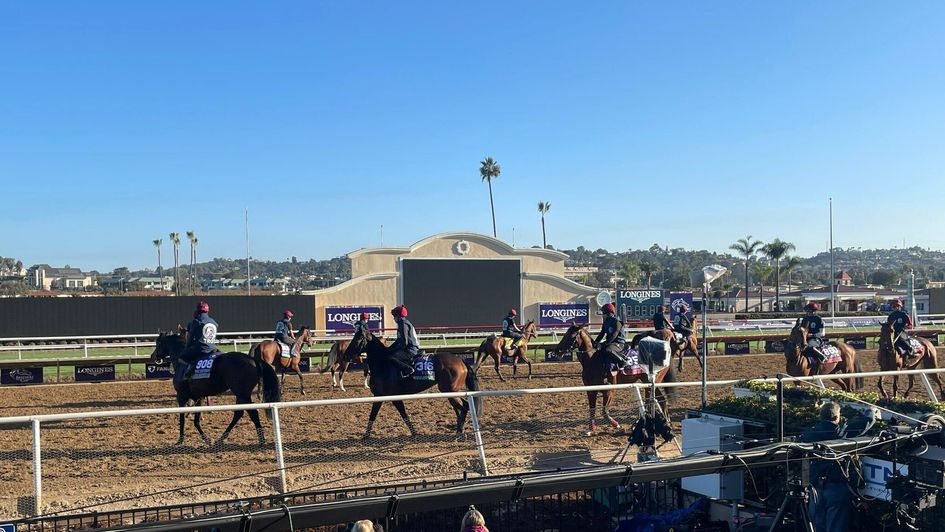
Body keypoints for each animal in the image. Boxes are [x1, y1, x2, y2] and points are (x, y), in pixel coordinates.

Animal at [150, 330, 280, 446]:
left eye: (158, 342)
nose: (153, 356)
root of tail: (253, 359)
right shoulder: (199, 397)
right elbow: (196, 421)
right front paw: (206, 439)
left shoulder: (181, 396)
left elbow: (182, 418)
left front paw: (180, 440)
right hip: (241, 394)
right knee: (238, 413)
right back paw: (220, 439)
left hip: (243, 394)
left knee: (253, 413)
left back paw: (261, 440)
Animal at [346, 330, 480, 438]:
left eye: (358, 339)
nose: (346, 354)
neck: (382, 364)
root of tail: (460, 360)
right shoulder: (378, 396)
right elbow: (373, 415)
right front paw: (366, 436)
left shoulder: (393, 397)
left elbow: (403, 415)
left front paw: (414, 434)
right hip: (451, 392)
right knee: (462, 408)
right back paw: (459, 431)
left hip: (449, 390)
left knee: (463, 407)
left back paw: (460, 432)